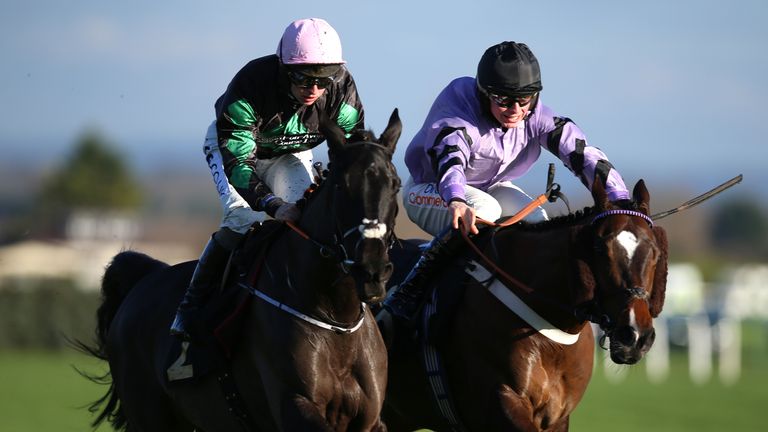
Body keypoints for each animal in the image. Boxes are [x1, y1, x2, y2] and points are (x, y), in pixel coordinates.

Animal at [83, 109, 404, 432]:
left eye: (395, 184)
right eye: (341, 185)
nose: (372, 269)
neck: (335, 317)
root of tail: (143, 279)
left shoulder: (371, 420)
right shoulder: (294, 405)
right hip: (150, 416)